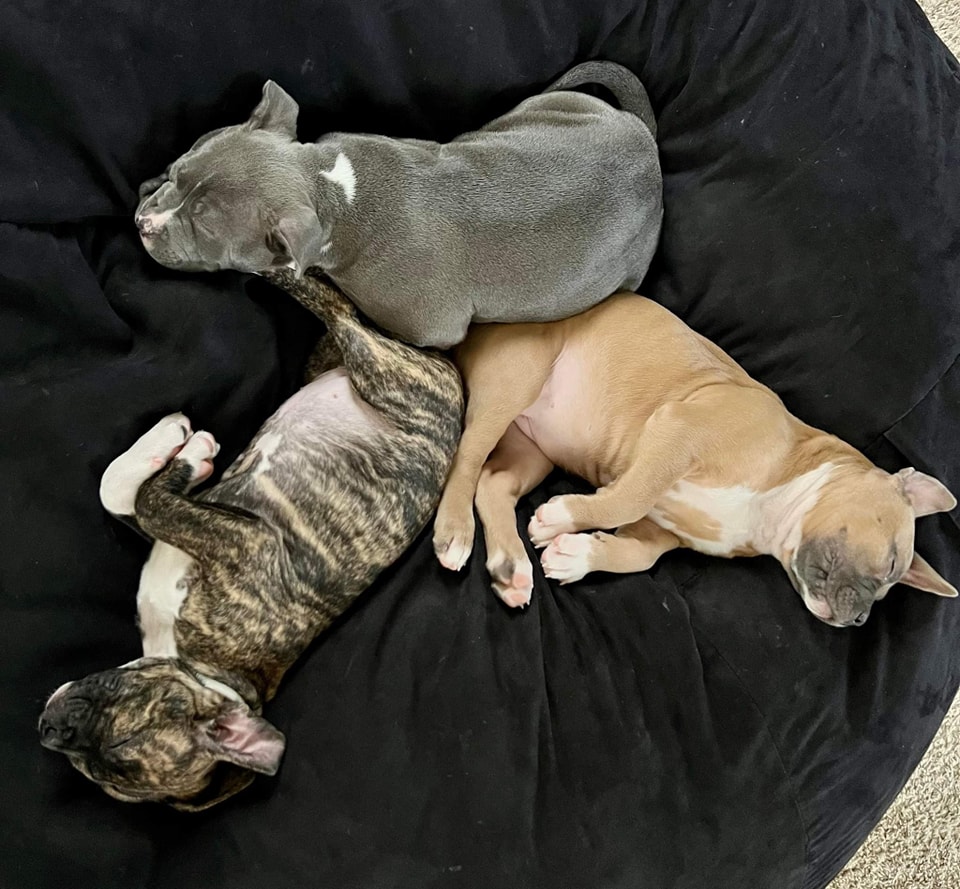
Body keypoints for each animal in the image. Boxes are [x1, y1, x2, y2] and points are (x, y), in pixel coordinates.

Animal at [33, 270, 462, 812]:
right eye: (90, 772)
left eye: (122, 743)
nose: (51, 728)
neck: (203, 667)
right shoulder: (182, 530)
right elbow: (118, 490)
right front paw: (173, 454)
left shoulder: (242, 539)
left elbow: (149, 500)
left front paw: (187, 451)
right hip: (333, 363)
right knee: (345, 316)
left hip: (385, 375)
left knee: (337, 311)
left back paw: (265, 265)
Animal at [133, 60, 660, 346]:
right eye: (177, 171)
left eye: (204, 229)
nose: (144, 223)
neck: (335, 193)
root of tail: (648, 147)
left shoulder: (431, 327)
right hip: (545, 110)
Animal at [436, 292, 960, 624]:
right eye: (891, 564)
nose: (860, 619)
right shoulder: (679, 433)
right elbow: (625, 498)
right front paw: (563, 516)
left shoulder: (662, 530)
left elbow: (639, 554)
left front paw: (578, 554)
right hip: (516, 381)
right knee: (467, 457)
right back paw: (456, 531)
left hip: (535, 452)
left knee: (492, 483)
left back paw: (511, 565)